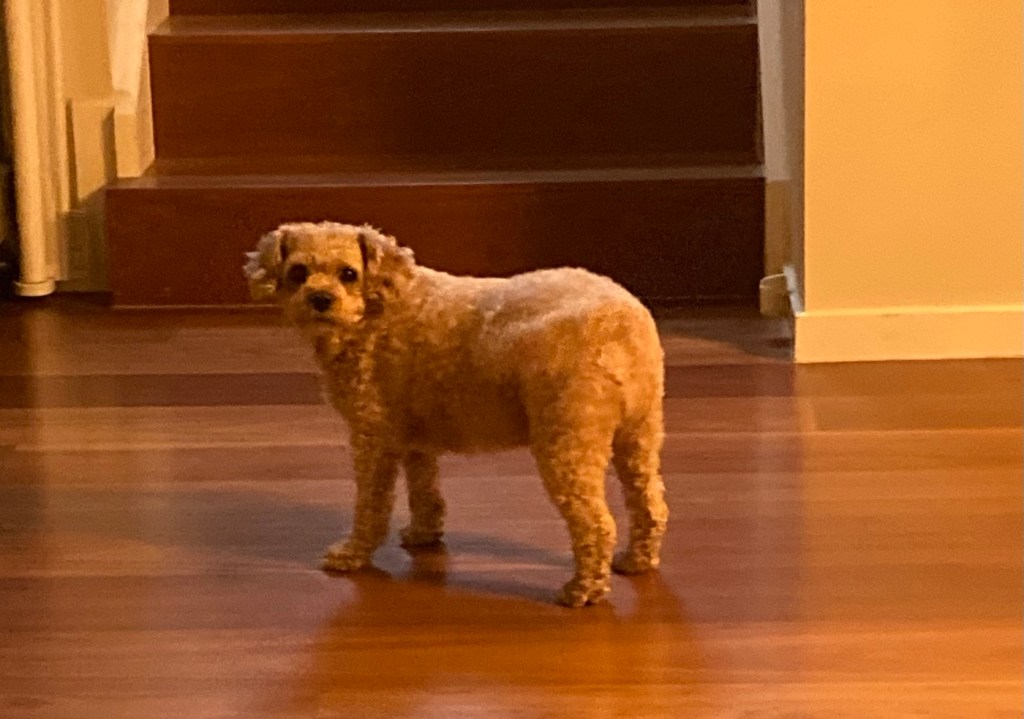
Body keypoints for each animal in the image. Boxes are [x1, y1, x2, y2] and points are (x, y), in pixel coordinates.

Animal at [244, 222, 668, 606]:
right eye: (298, 272)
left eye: (348, 273)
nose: (319, 299)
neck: (376, 307)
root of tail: (621, 325)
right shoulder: (414, 438)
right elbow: (425, 493)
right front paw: (423, 536)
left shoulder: (373, 437)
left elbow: (371, 505)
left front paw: (352, 554)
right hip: (639, 434)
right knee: (651, 504)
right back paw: (635, 561)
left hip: (568, 442)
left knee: (597, 525)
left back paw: (582, 591)